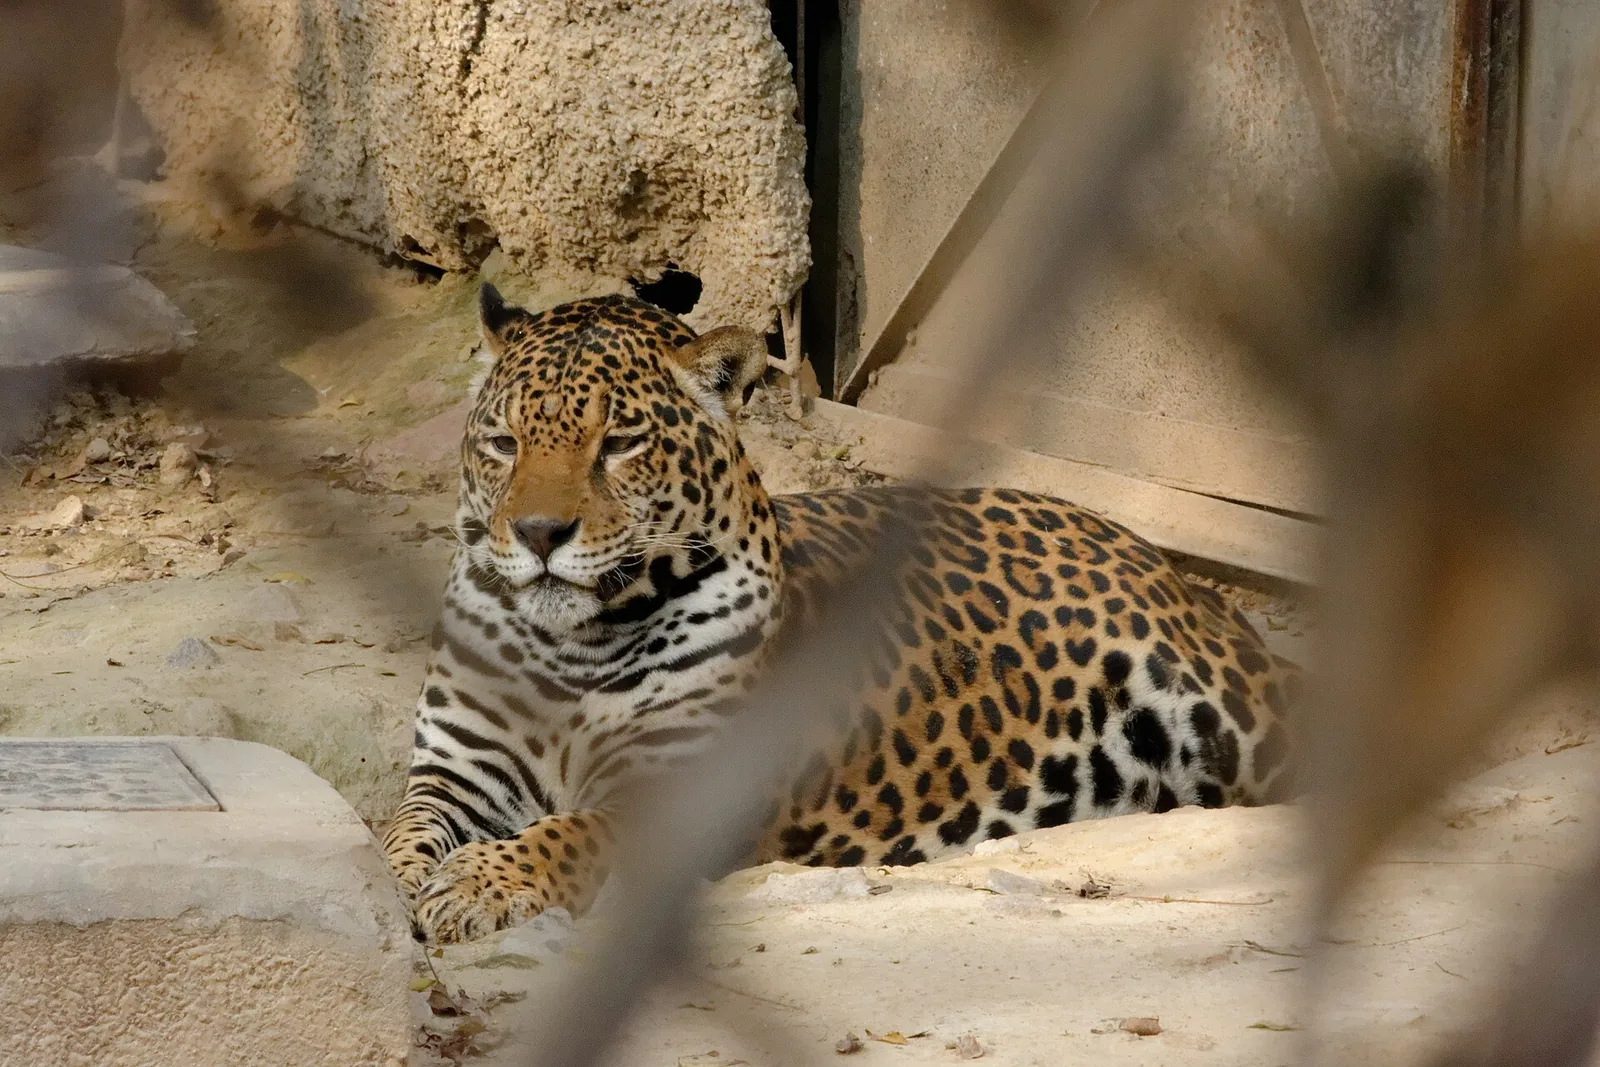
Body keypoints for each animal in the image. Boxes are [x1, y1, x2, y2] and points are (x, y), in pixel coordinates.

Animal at [382, 284, 1299, 944]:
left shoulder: (682, 792)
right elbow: (404, 828)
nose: (539, 532)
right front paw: (405, 879)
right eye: (503, 443)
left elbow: (568, 831)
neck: (571, 643)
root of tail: (1149, 550)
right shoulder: (456, 770)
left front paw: (480, 881)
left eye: (620, 444)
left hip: (1237, 717)